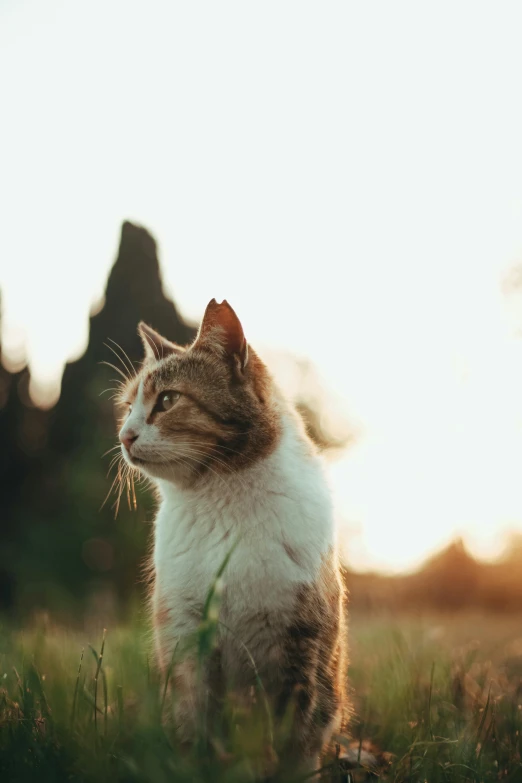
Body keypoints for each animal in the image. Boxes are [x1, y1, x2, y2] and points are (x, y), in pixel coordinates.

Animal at [116, 298, 348, 776]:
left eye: (168, 400)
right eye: (128, 407)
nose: (124, 435)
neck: (218, 499)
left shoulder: (297, 644)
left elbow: (290, 739)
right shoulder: (185, 634)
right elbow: (197, 722)